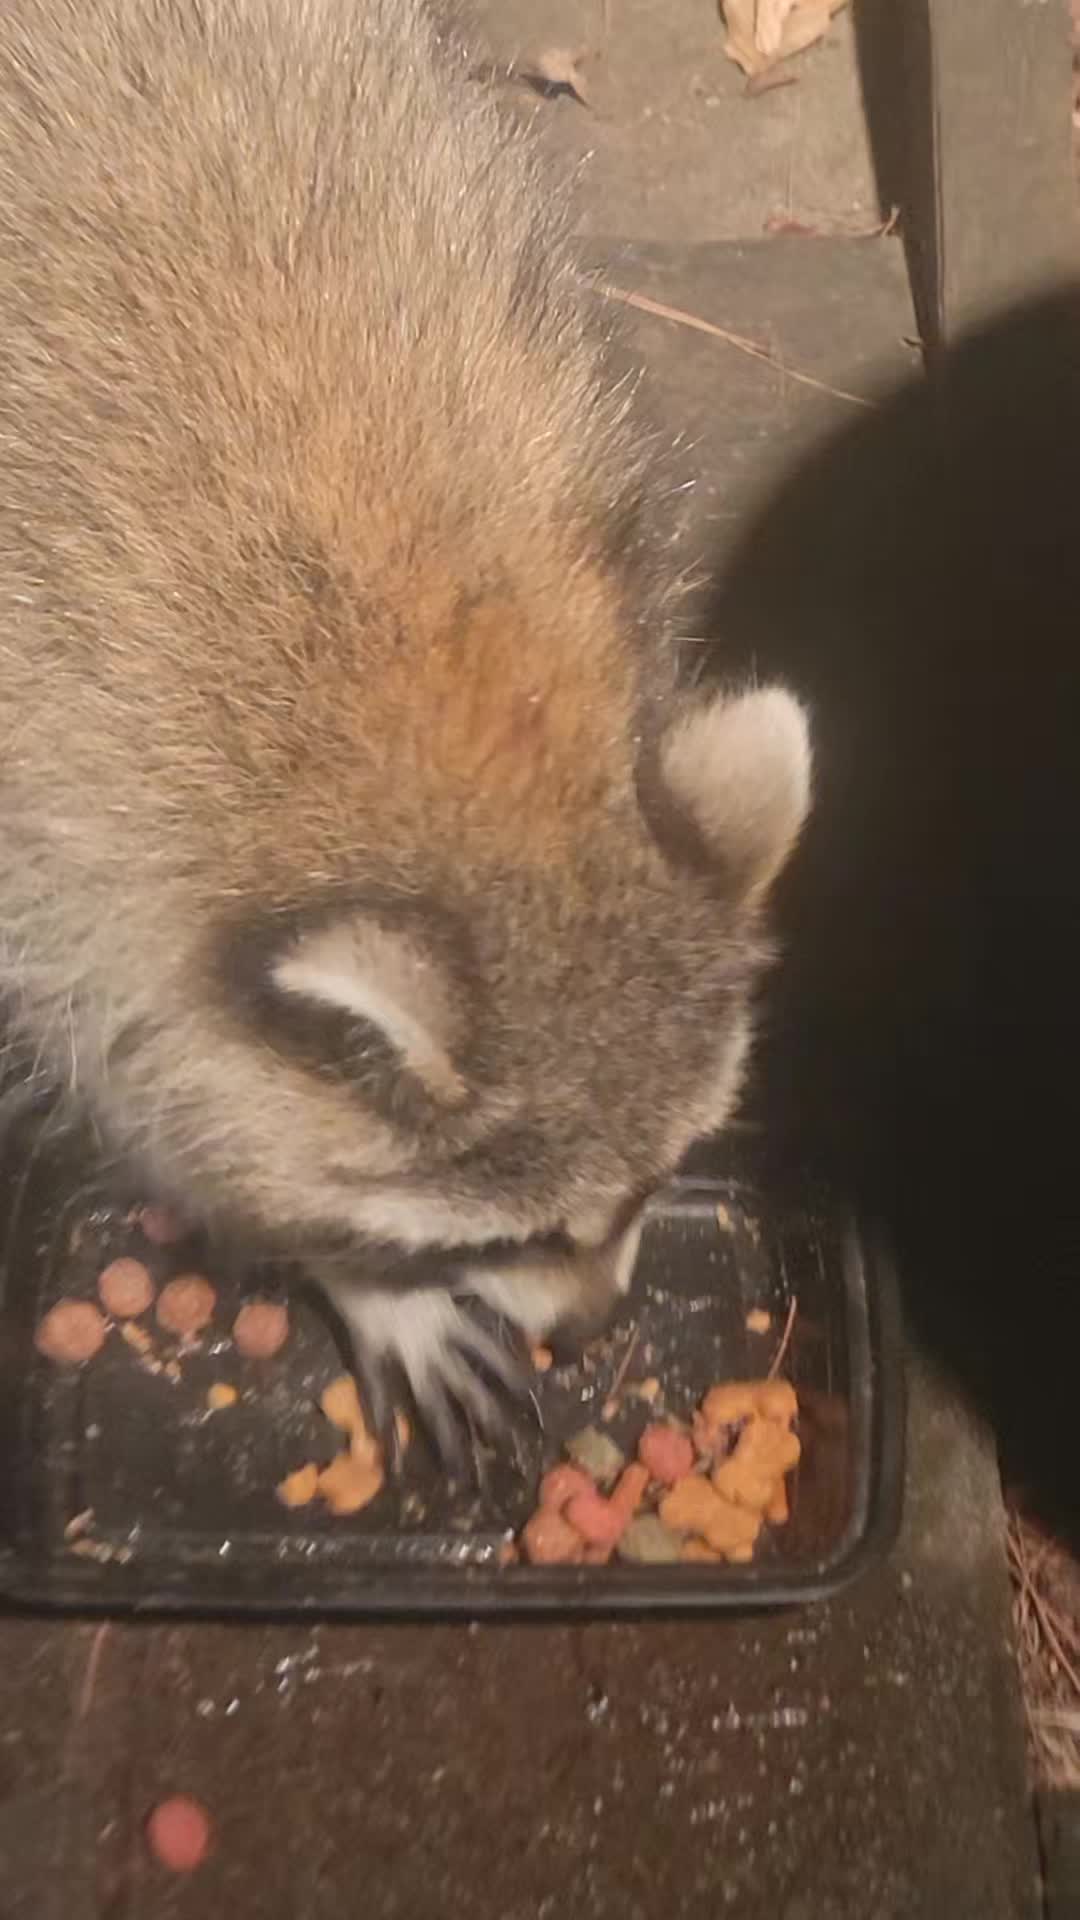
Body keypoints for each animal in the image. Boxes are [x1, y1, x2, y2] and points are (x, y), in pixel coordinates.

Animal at [0, 0, 810, 1452]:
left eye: (655, 1179)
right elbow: (148, 1077)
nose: (593, 1327)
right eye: (507, 1235)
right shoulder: (74, 816)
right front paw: (352, 1270)